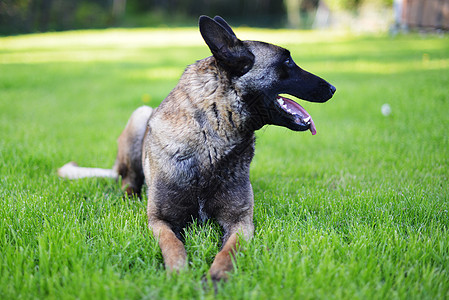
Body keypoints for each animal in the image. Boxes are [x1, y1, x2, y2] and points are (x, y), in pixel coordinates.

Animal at [57, 15, 334, 282]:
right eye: (287, 61)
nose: (333, 89)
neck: (210, 141)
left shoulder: (240, 221)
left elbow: (228, 250)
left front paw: (216, 276)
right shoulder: (160, 220)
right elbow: (173, 245)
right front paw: (179, 274)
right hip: (139, 116)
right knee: (128, 181)